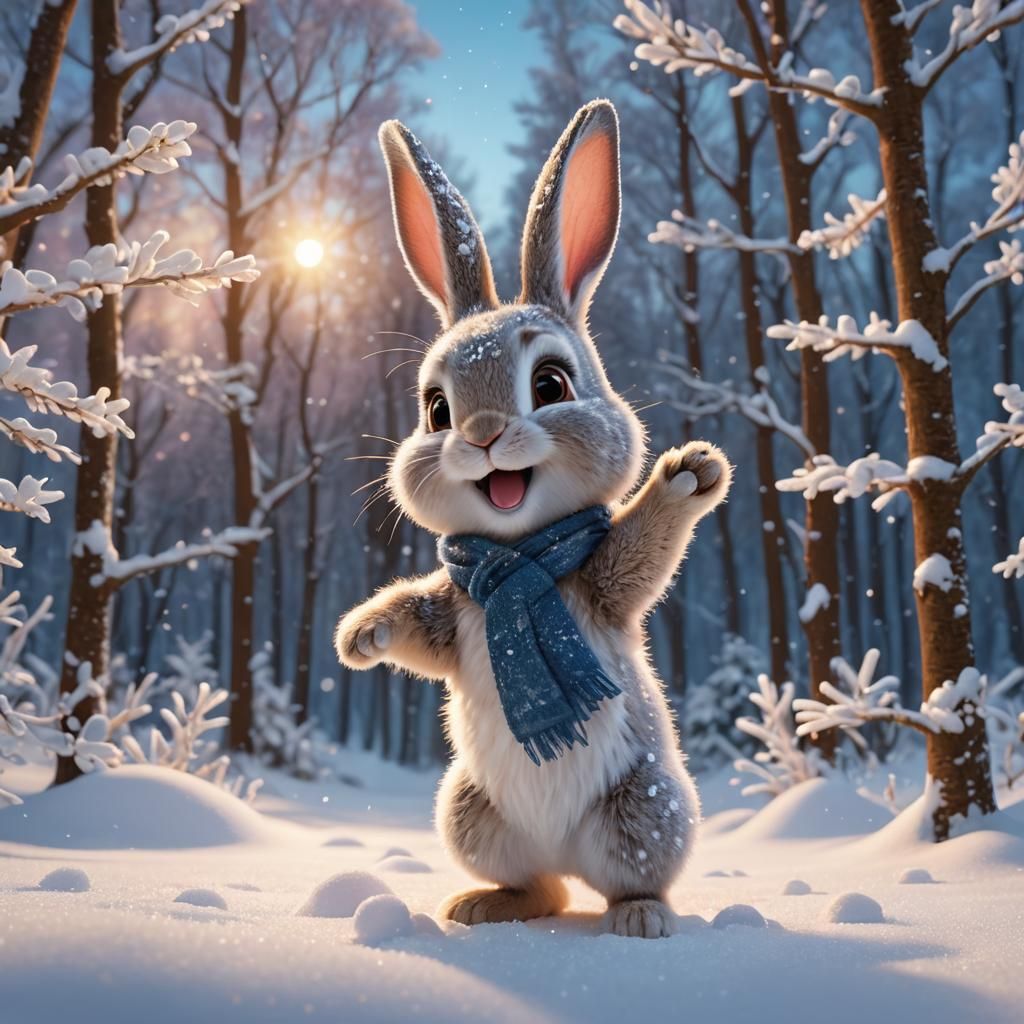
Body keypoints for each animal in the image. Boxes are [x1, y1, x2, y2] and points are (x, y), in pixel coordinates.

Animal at [335, 99, 732, 939]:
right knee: (538, 888)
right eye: (436, 409)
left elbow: (641, 549)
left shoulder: (601, 586)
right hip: (469, 812)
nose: (483, 435)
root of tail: (564, 853)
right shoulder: (456, 610)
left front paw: (689, 474)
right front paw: (361, 638)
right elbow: (415, 626)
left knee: (626, 879)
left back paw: (639, 918)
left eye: (550, 384)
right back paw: (481, 905)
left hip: (644, 810)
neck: (520, 560)